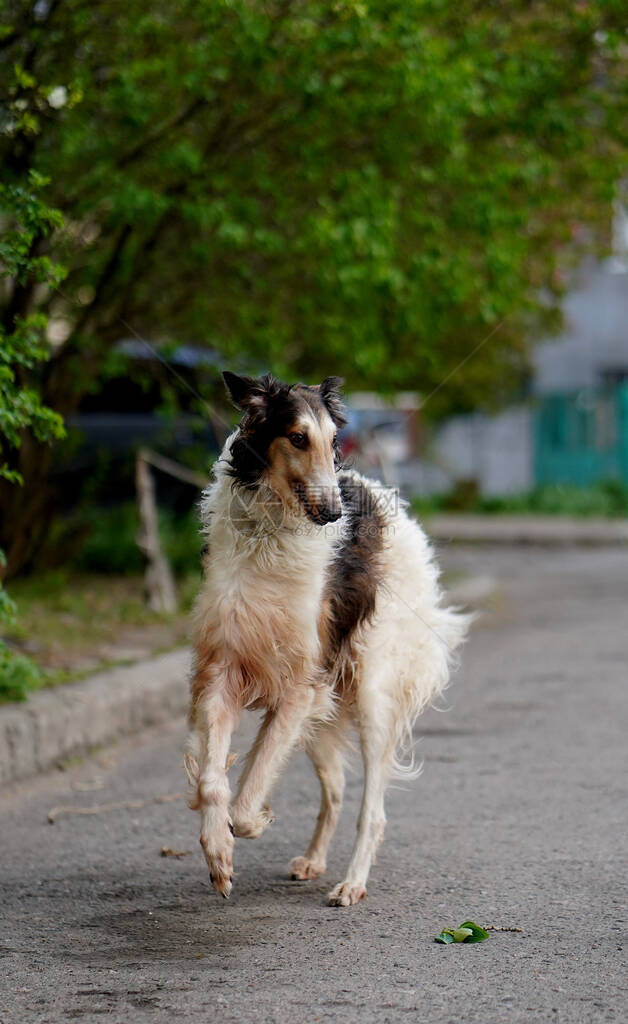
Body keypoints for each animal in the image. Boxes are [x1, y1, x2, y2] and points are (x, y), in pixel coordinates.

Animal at [183, 374, 467, 905]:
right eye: (298, 438)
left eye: (335, 439)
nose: (335, 513)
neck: (269, 536)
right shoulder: (223, 671)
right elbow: (214, 782)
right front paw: (218, 855)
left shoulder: (299, 685)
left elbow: (247, 797)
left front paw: (252, 823)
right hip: (325, 712)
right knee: (334, 789)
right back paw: (314, 860)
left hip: (372, 695)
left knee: (371, 811)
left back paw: (351, 883)